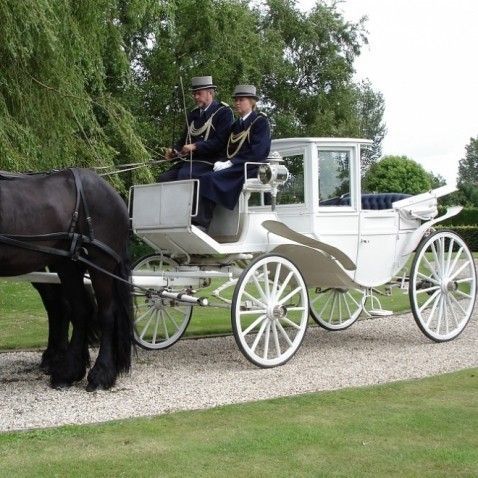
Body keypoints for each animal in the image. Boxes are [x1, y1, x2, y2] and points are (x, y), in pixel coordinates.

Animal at [0, 170, 132, 390]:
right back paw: (68, 371)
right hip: (67, 264)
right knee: (78, 310)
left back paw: (101, 374)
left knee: (106, 313)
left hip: (100, 264)